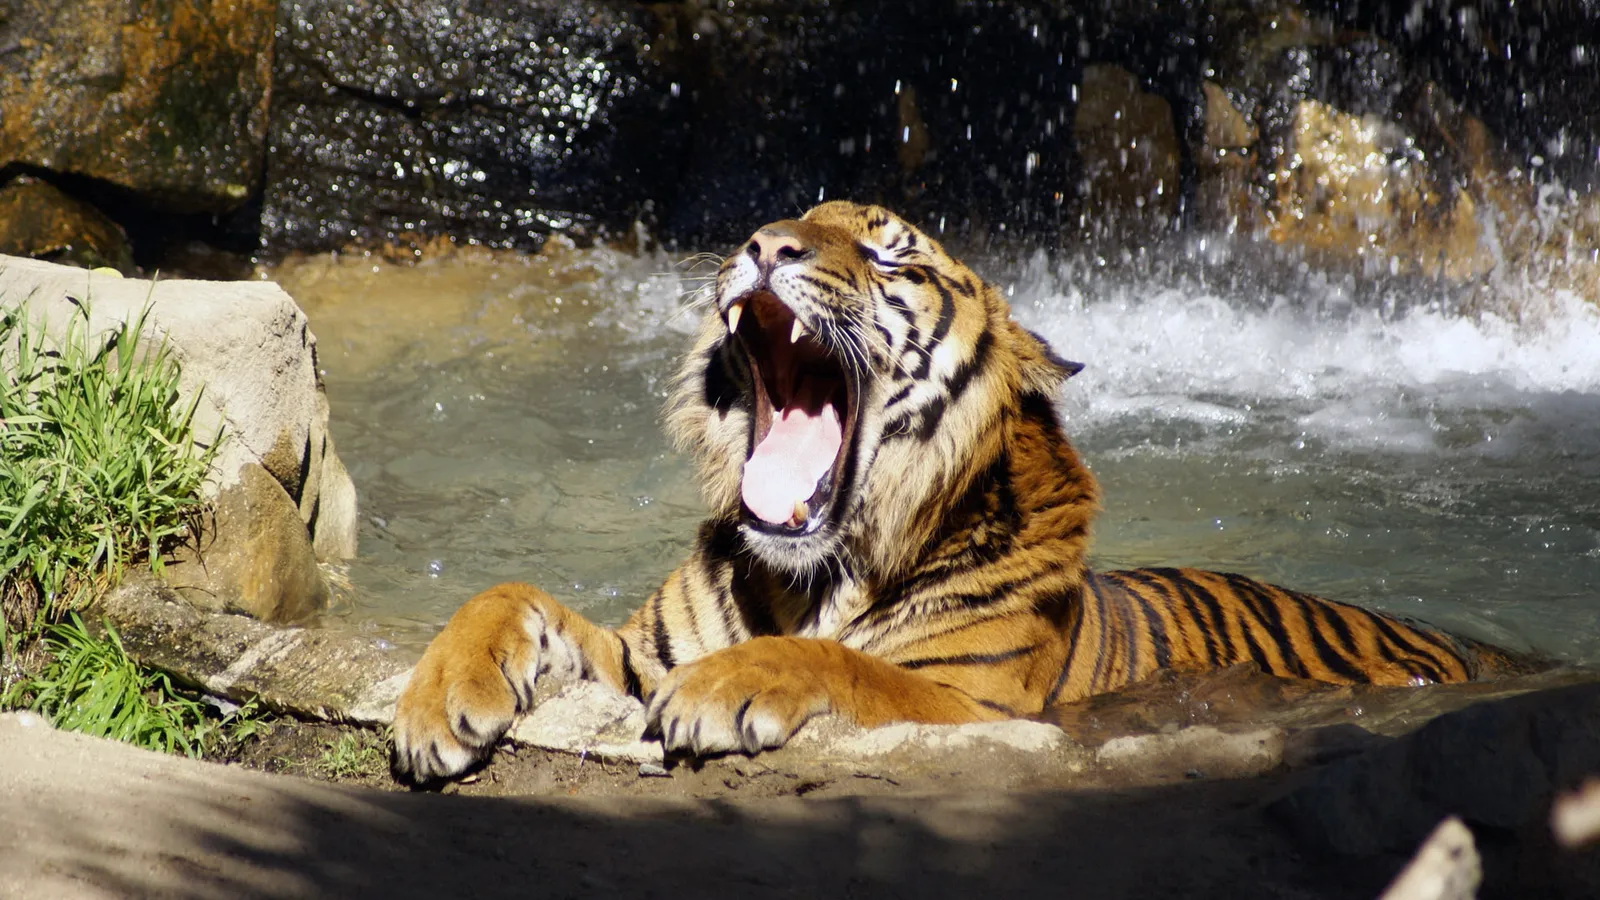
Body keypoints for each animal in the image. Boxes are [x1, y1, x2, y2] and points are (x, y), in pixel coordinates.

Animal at [390, 200, 1512, 783]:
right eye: (789, 218)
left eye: (888, 250)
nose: (763, 244)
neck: (812, 574)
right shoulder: (637, 654)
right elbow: (505, 595)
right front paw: (438, 704)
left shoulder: (973, 703)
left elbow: (842, 663)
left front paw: (724, 690)